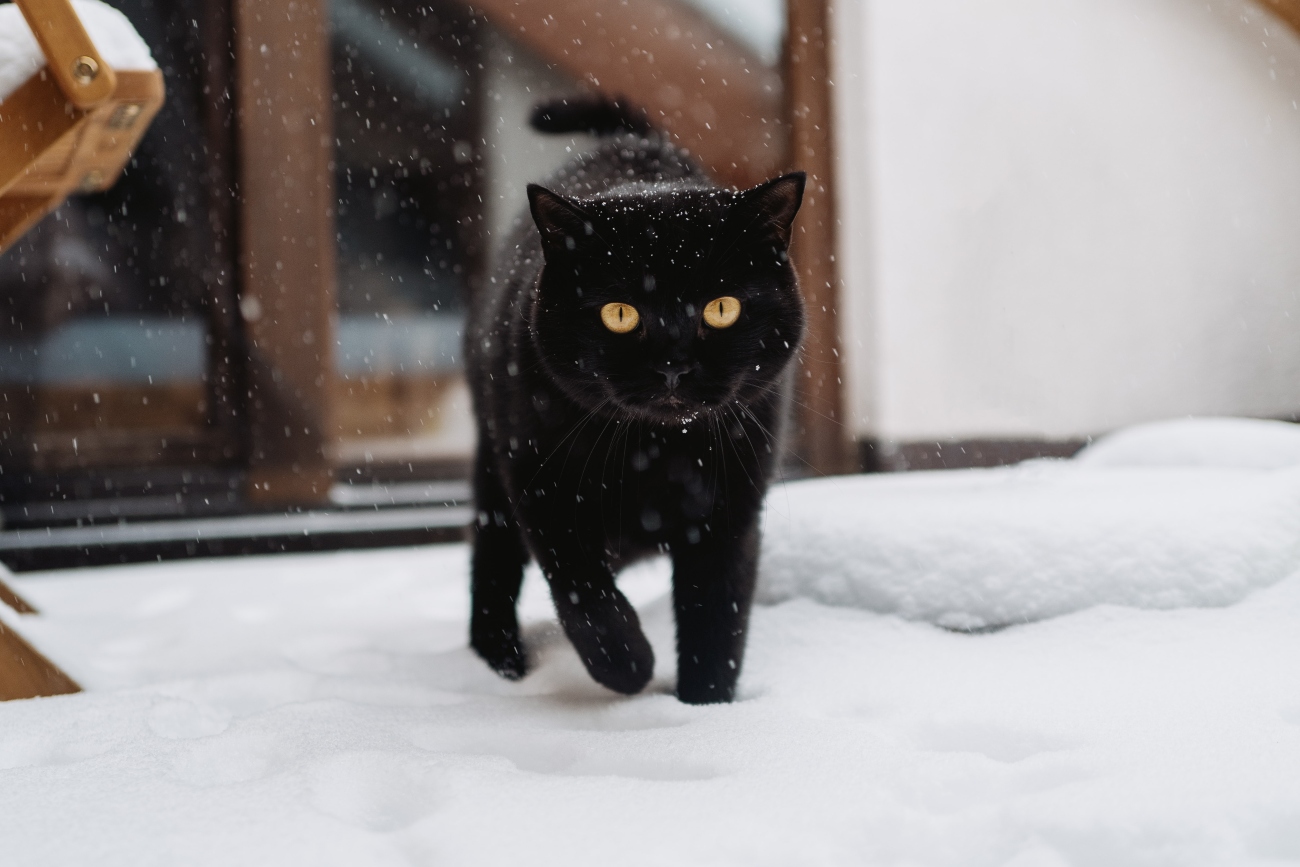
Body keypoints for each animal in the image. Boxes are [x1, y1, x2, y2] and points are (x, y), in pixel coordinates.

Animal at [467, 98, 800, 701]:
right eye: (619, 313)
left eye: (721, 308)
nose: (673, 364)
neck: (656, 454)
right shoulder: (543, 491)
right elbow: (584, 594)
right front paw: (627, 667)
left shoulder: (731, 512)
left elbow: (716, 618)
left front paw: (706, 707)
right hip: (493, 465)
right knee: (493, 560)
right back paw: (500, 660)